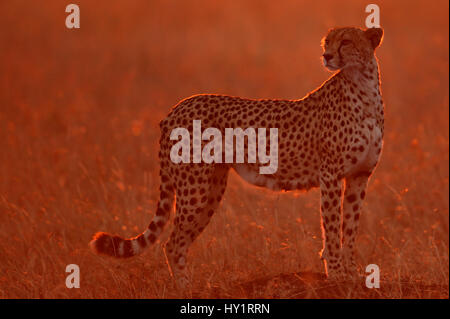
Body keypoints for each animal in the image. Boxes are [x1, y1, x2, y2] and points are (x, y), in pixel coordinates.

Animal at [90, 26, 384, 288]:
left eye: (345, 41)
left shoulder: (360, 176)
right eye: (327, 42)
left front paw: (351, 273)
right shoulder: (330, 175)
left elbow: (350, 227)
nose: (326, 56)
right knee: (172, 244)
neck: (363, 87)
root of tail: (176, 107)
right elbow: (332, 228)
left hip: (211, 188)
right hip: (195, 188)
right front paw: (336, 276)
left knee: (179, 242)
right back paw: (186, 288)